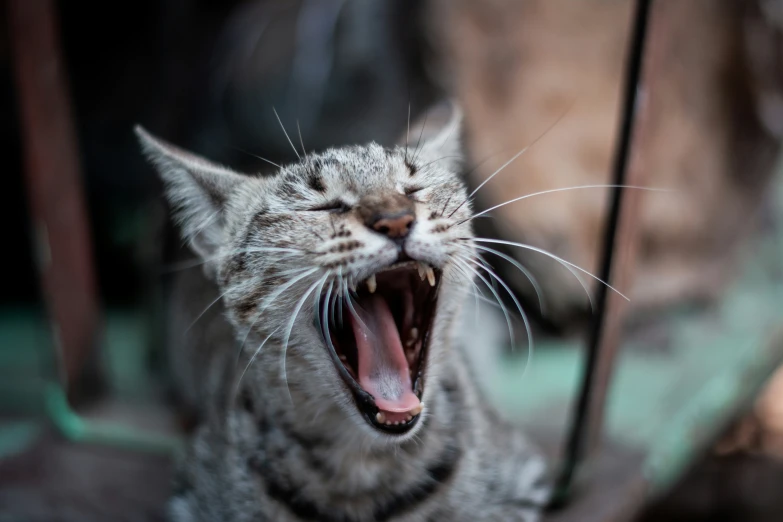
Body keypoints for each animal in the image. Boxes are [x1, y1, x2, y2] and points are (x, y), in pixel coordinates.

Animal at [135, 106, 548, 520]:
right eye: (325, 207)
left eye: (412, 190)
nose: (396, 219)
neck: (363, 458)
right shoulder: (191, 500)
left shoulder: (524, 482)